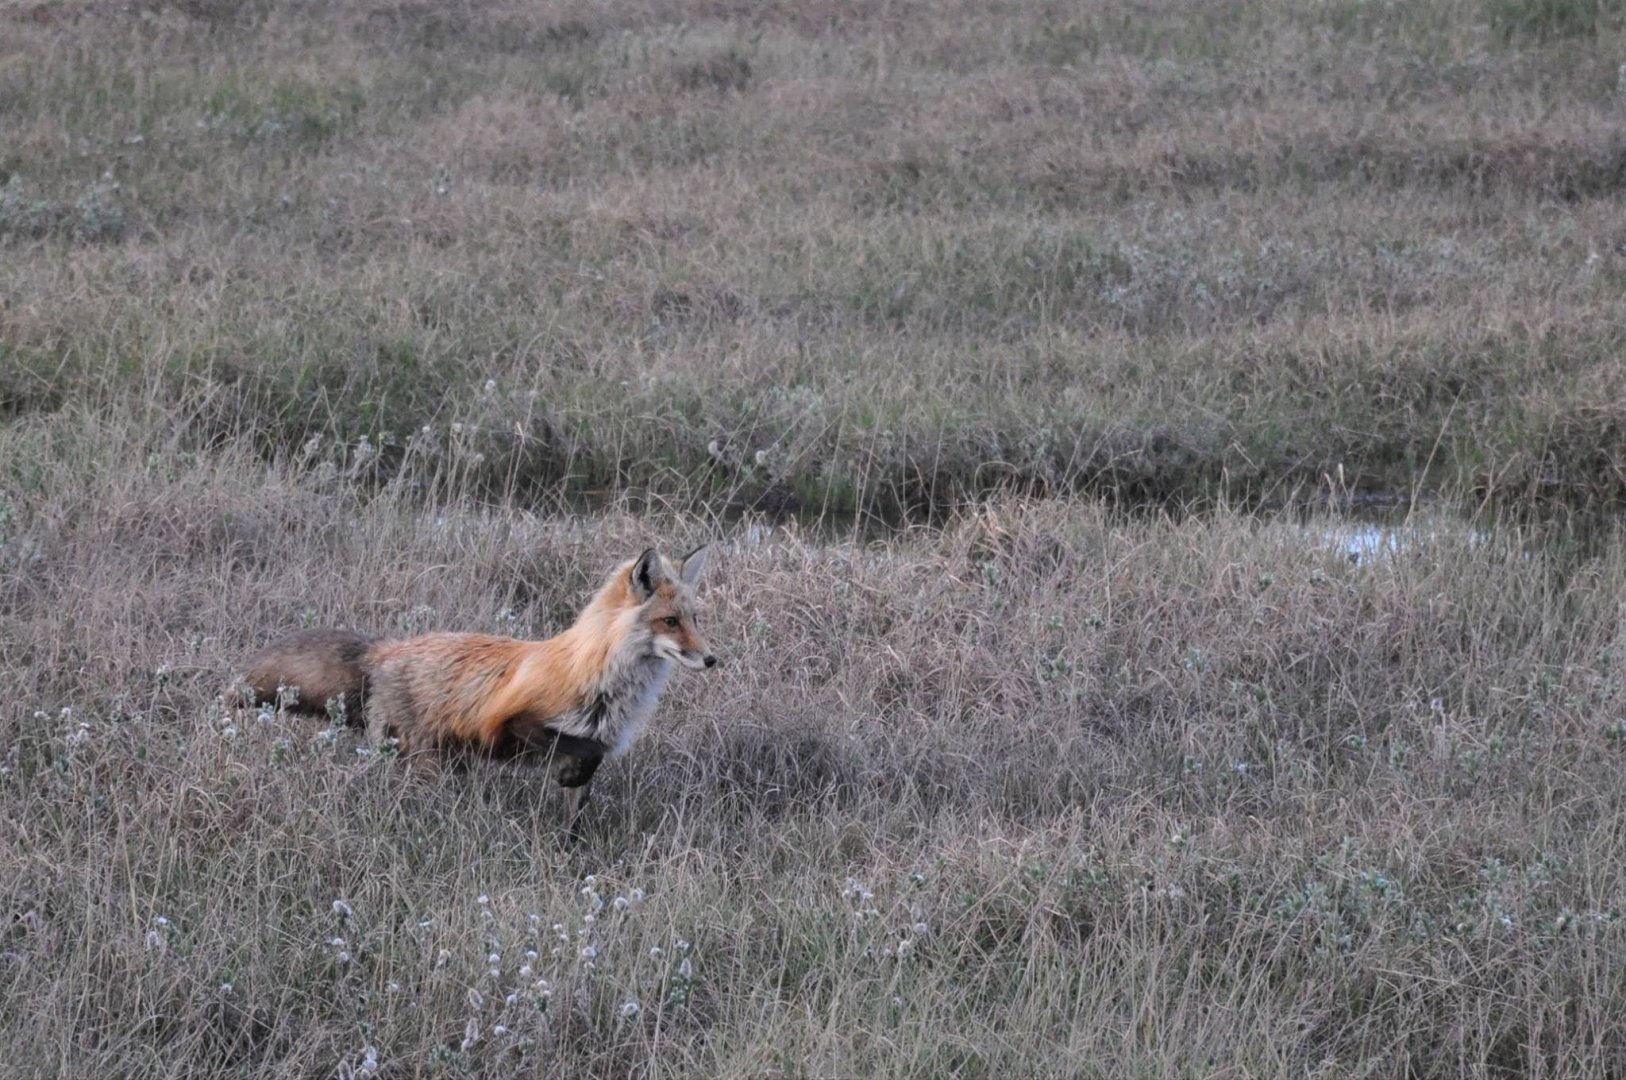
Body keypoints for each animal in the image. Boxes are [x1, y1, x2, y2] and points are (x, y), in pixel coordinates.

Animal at [230, 546, 716, 832]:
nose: (713, 660)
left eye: (695, 619)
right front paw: (569, 773)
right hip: (424, 764)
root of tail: (386, 650)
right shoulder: (515, 720)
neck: (602, 676)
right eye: (669, 622)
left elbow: (577, 803)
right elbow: (581, 751)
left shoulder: (595, 739)